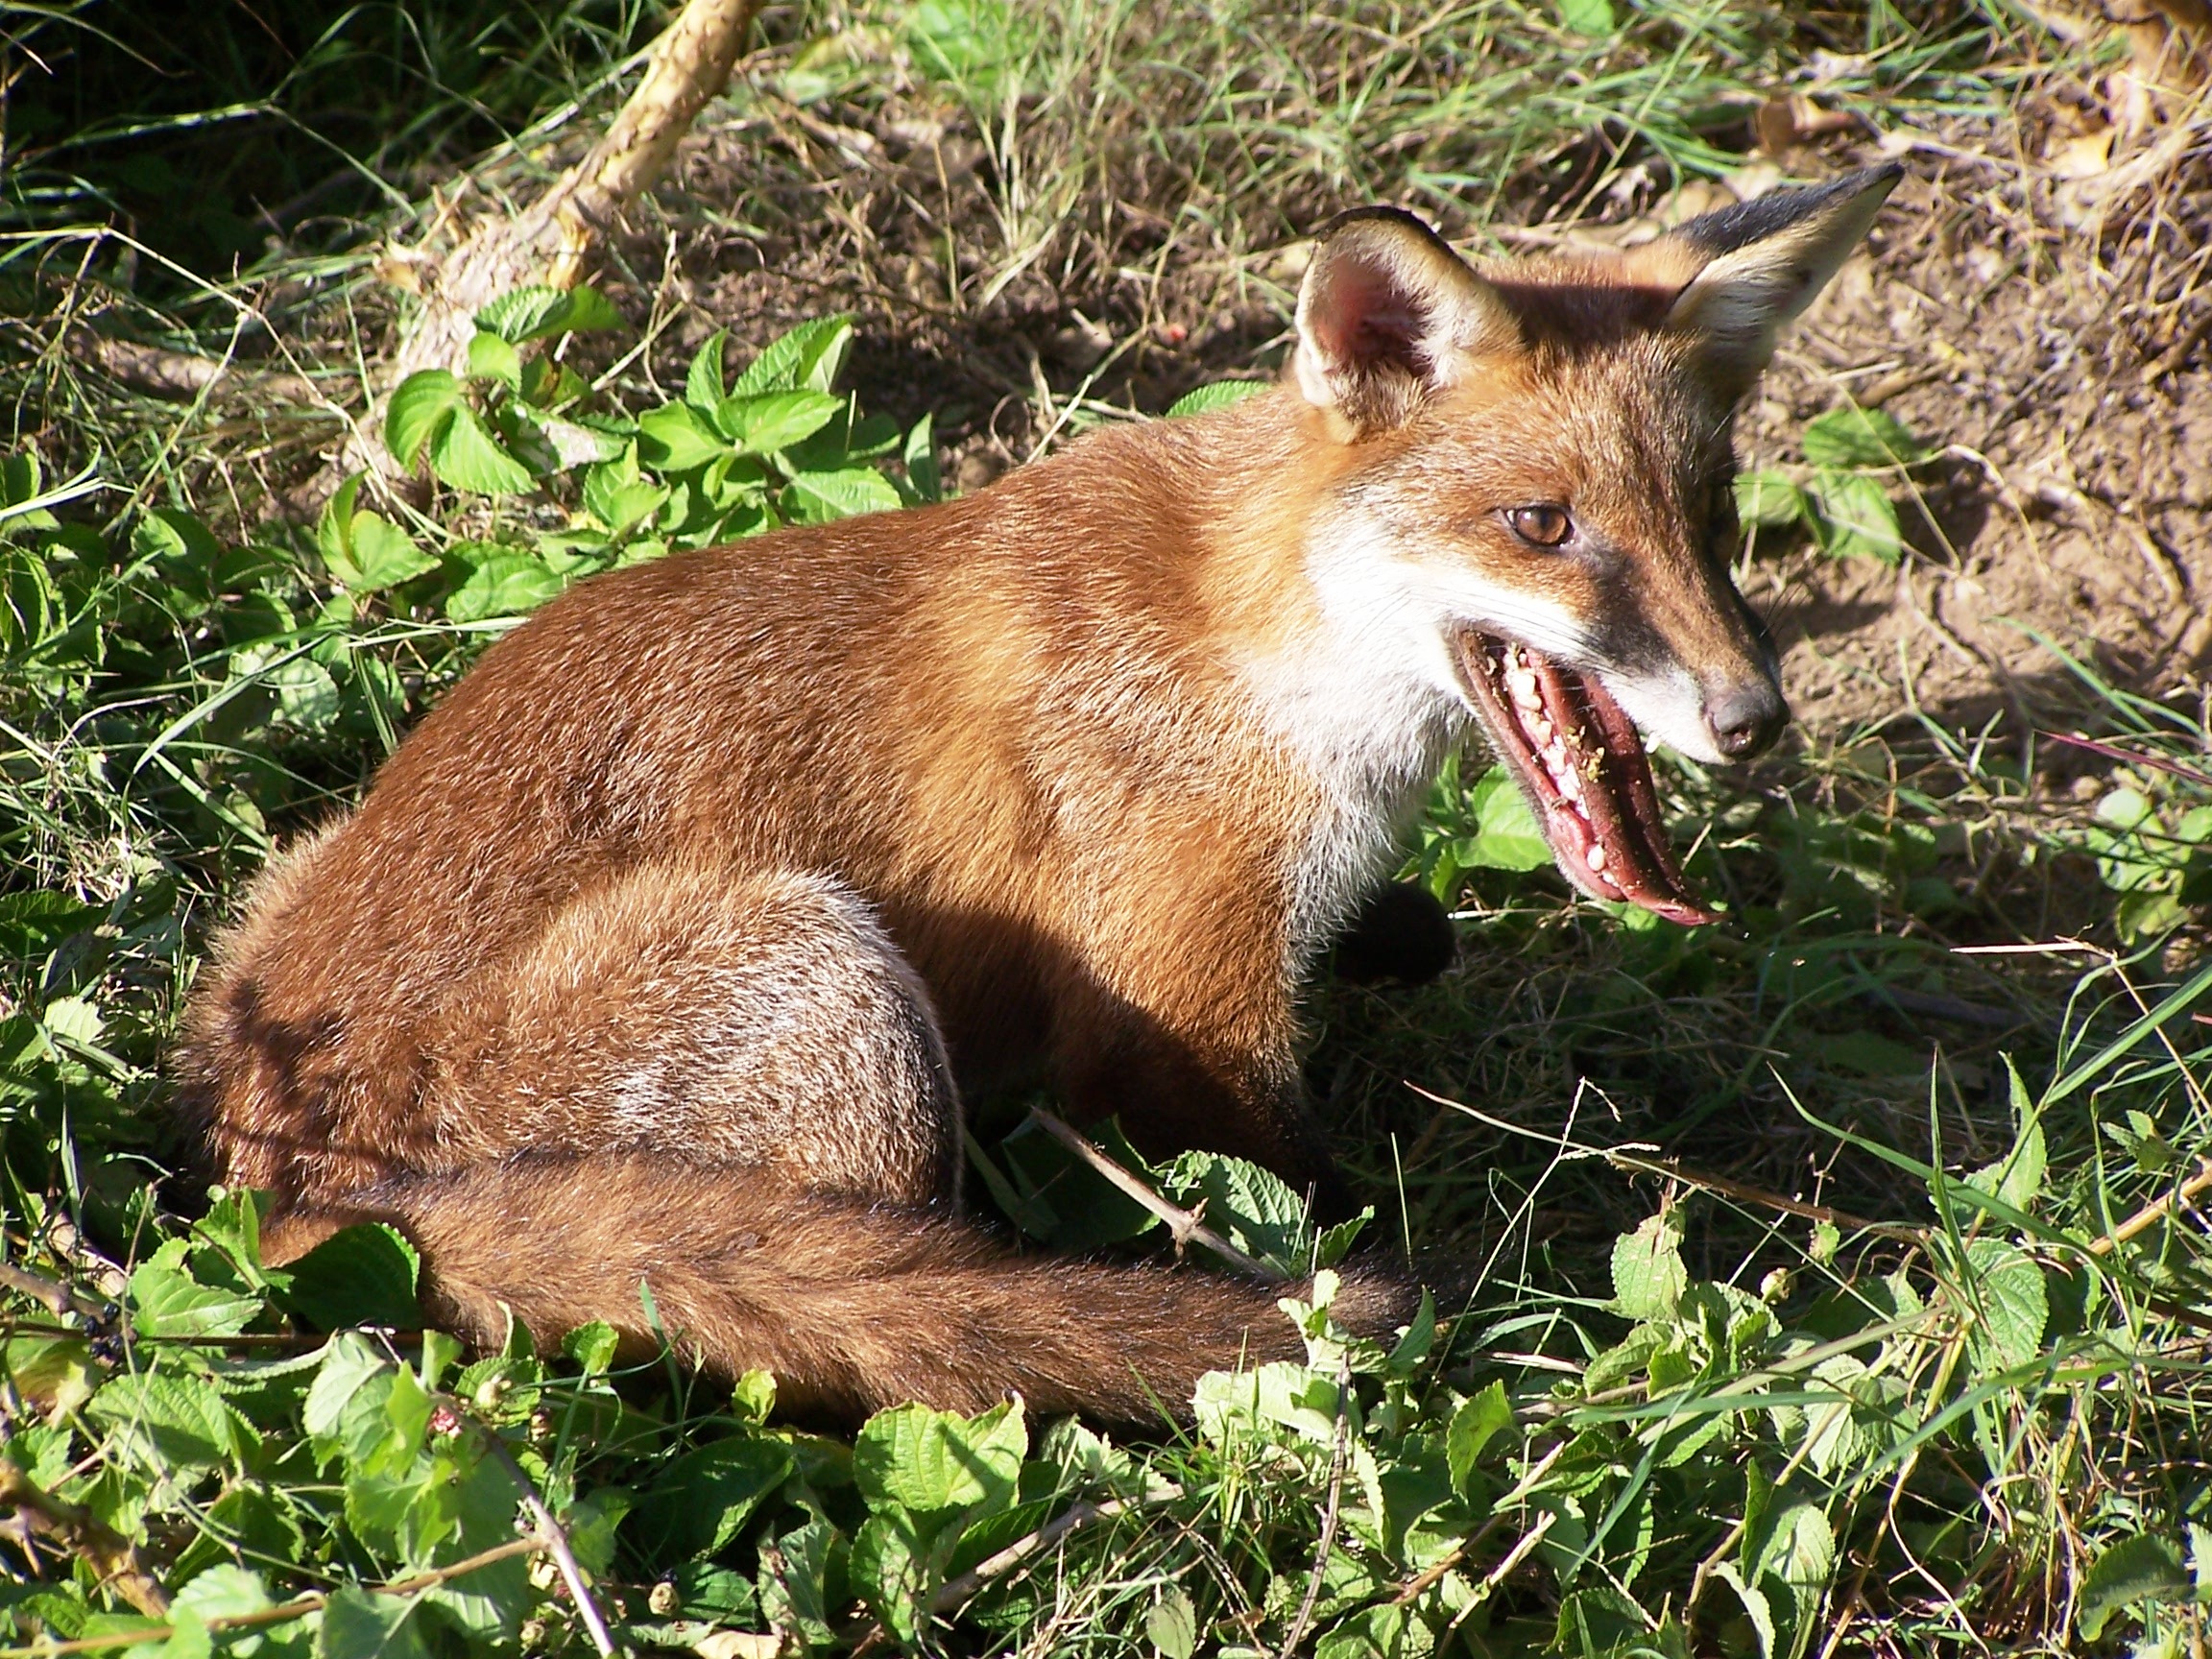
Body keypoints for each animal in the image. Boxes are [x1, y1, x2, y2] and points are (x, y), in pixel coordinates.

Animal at [176, 163, 1900, 1424]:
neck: (1261, 649)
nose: (1753, 720)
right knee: (855, 1333)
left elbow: (1404, 937)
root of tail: (283, 1186)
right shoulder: (1179, 1021)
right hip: (830, 984)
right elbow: (1301, 1190)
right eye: (1542, 525)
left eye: (1710, 515)